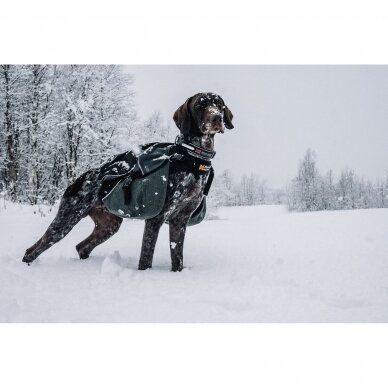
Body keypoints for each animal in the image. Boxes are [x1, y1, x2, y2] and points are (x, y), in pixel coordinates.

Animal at [22, 92, 233, 272]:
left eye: (219, 105)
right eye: (200, 105)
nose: (217, 118)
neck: (192, 158)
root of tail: (81, 177)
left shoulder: (179, 221)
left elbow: (177, 258)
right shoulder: (156, 219)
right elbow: (146, 258)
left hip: (109, 225)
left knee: (82, 247)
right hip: (66, 219)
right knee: (33, 250)